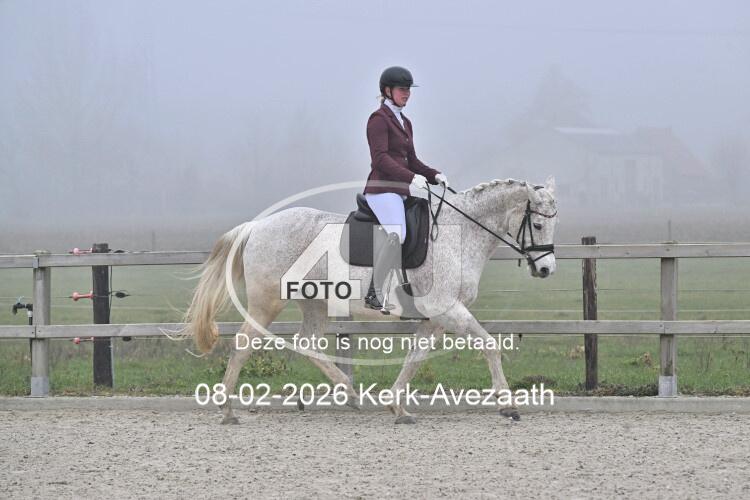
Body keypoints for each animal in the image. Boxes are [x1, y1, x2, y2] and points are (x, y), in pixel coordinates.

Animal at [182, 176, 558, 424]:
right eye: (538, 225)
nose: (546, 270)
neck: (460, 235)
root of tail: (256, 227)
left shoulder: (437, 316)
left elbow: (415, 358)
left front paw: (397, 406)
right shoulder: (447, 309)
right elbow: (489, 345)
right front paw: (507, 404)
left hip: (314, 301)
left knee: (308, 342)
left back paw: (350, 392)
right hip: (267, 302)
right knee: (244, 343)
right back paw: (228, 410)